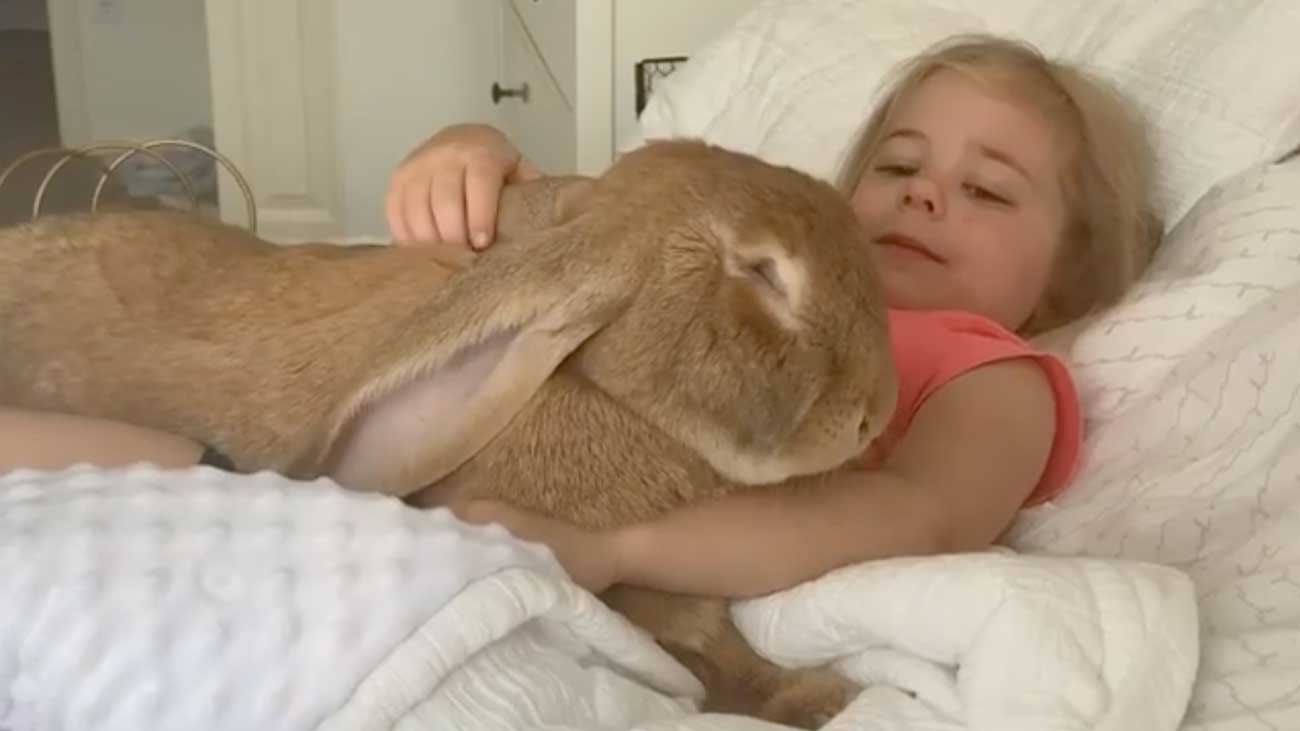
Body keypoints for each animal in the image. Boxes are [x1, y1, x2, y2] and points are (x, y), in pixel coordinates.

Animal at [0, 137, 894, 723]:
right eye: (761, 273)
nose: (875, 410)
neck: (590, 382)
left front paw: (821, 691)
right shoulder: (645, 604)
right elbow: (709, 652)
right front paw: (821, 697)